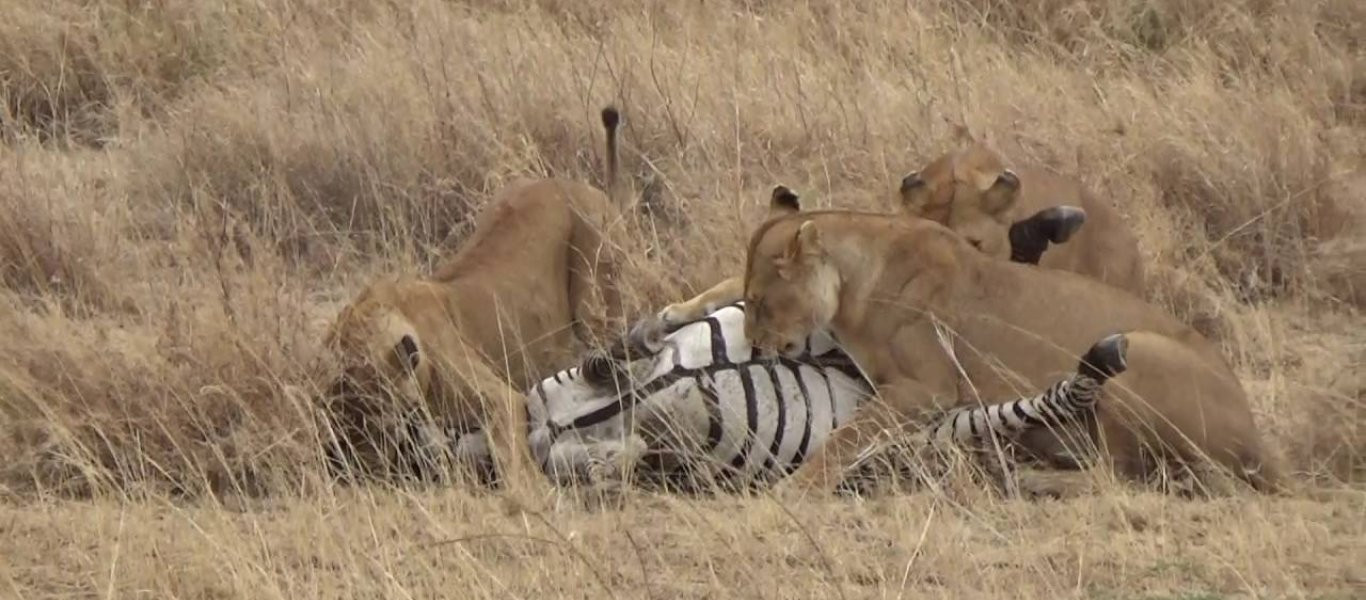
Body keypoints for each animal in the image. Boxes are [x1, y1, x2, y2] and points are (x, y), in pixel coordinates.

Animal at [322, 104, 631, 502]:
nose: (355, 468)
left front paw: (532, 496)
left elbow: (511, 457)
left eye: (376, 421)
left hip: (596, 301)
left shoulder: (502, 400)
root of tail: (588, 188)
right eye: (343, 422)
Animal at [737, 209, 1278, 494]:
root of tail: (1259, 443)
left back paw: (1033, 478)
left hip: (1137, 350)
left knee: (1116, 477)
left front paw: (793, 487)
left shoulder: (927, 388)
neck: (854, 284)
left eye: (760, 302)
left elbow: (846, 437)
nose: (753, 344)